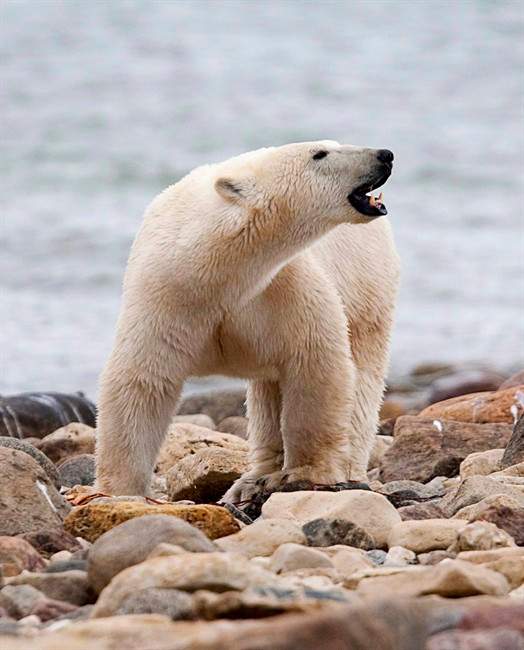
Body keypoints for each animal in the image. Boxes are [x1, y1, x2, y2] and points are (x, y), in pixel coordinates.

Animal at [95, 141, 400, 501]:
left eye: (334, 145)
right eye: (320, 153)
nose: (384, 154)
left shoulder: (283, 289)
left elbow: (315, 365)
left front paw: (307, 472)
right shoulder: (166, 296)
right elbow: (143, 380)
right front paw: (119, 489)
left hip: (367, 290)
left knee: (362, 377)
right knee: (268, 392)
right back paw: (253, 479)